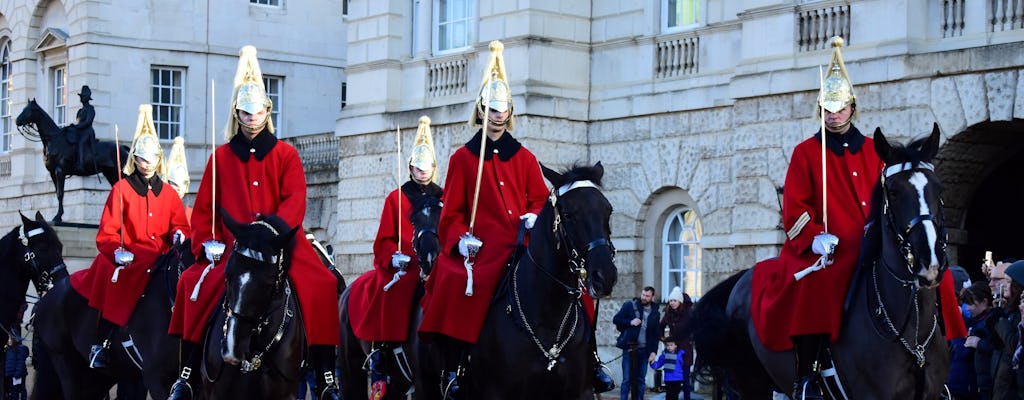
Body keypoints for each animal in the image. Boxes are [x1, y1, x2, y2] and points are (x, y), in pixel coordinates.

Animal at [688, 123, 950, 398]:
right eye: (894, 192)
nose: (929, 262)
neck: (913, 333)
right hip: (749, 382)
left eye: (939, 189)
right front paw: (825, 243)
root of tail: (743, 277)